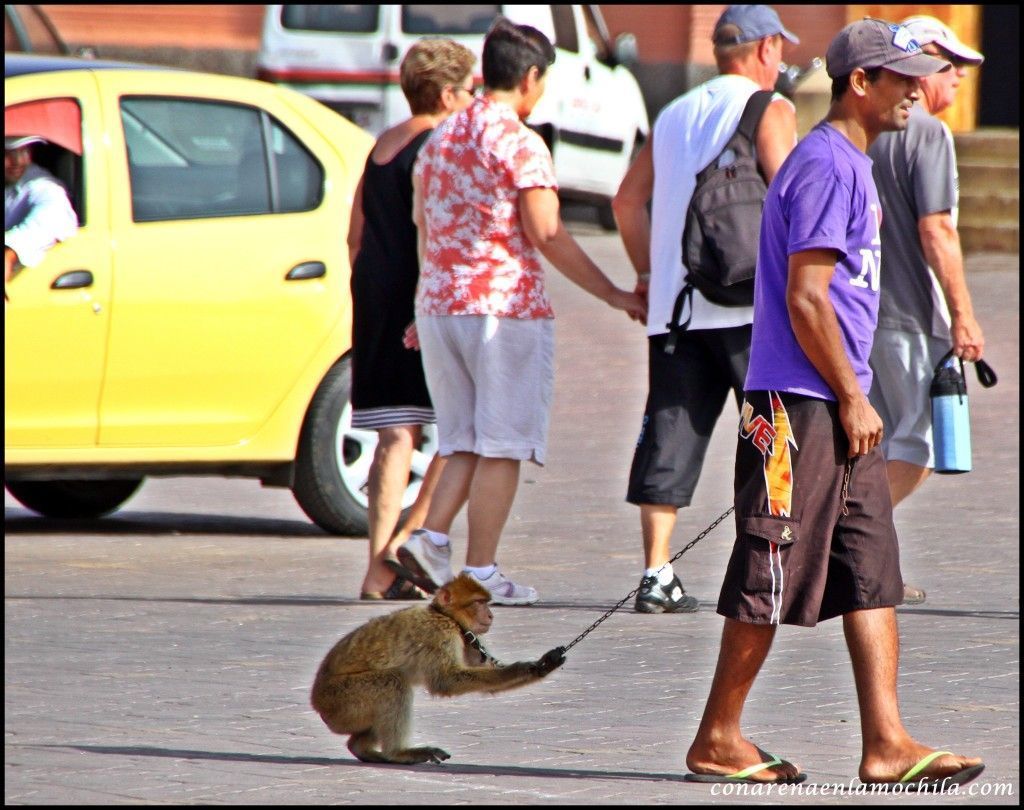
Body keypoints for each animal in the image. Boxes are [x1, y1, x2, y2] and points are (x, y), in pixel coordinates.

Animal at [311, 569, 569, 765]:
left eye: (486, 602)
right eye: (479, 603)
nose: (490, 615)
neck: (447, 617)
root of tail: (317, 702)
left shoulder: (470, 641)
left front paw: (542, 666)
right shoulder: (440, 633)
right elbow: (445, 681)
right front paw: (520, 668)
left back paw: (361, 748)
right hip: (341, 700)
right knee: (392, 682)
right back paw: (397, 753)